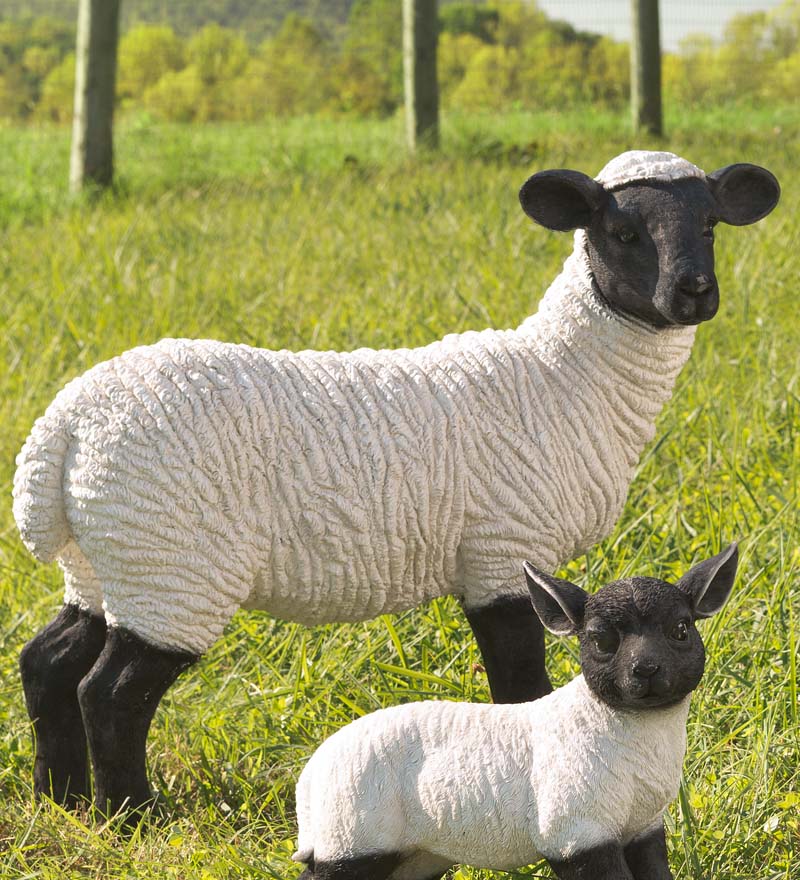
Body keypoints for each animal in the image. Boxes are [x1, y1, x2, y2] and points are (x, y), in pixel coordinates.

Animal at [14, 151, 779, 818]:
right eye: (621, 232)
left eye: (710, 225)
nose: (695, 294)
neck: (563, 377)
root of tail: (61, 432)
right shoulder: (502, 553)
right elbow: (519, 687)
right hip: (174, 562)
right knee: (110, 693)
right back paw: (132, 816)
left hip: (111, 557)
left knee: (47, 662)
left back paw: (63, 802)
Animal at [292, 544, 739, 880]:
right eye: (600, 641)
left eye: (681, 630)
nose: (645, 670)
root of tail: (310, 777)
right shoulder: (575, 831)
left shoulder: (642, 827)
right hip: (355, 836)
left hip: (416, 852)